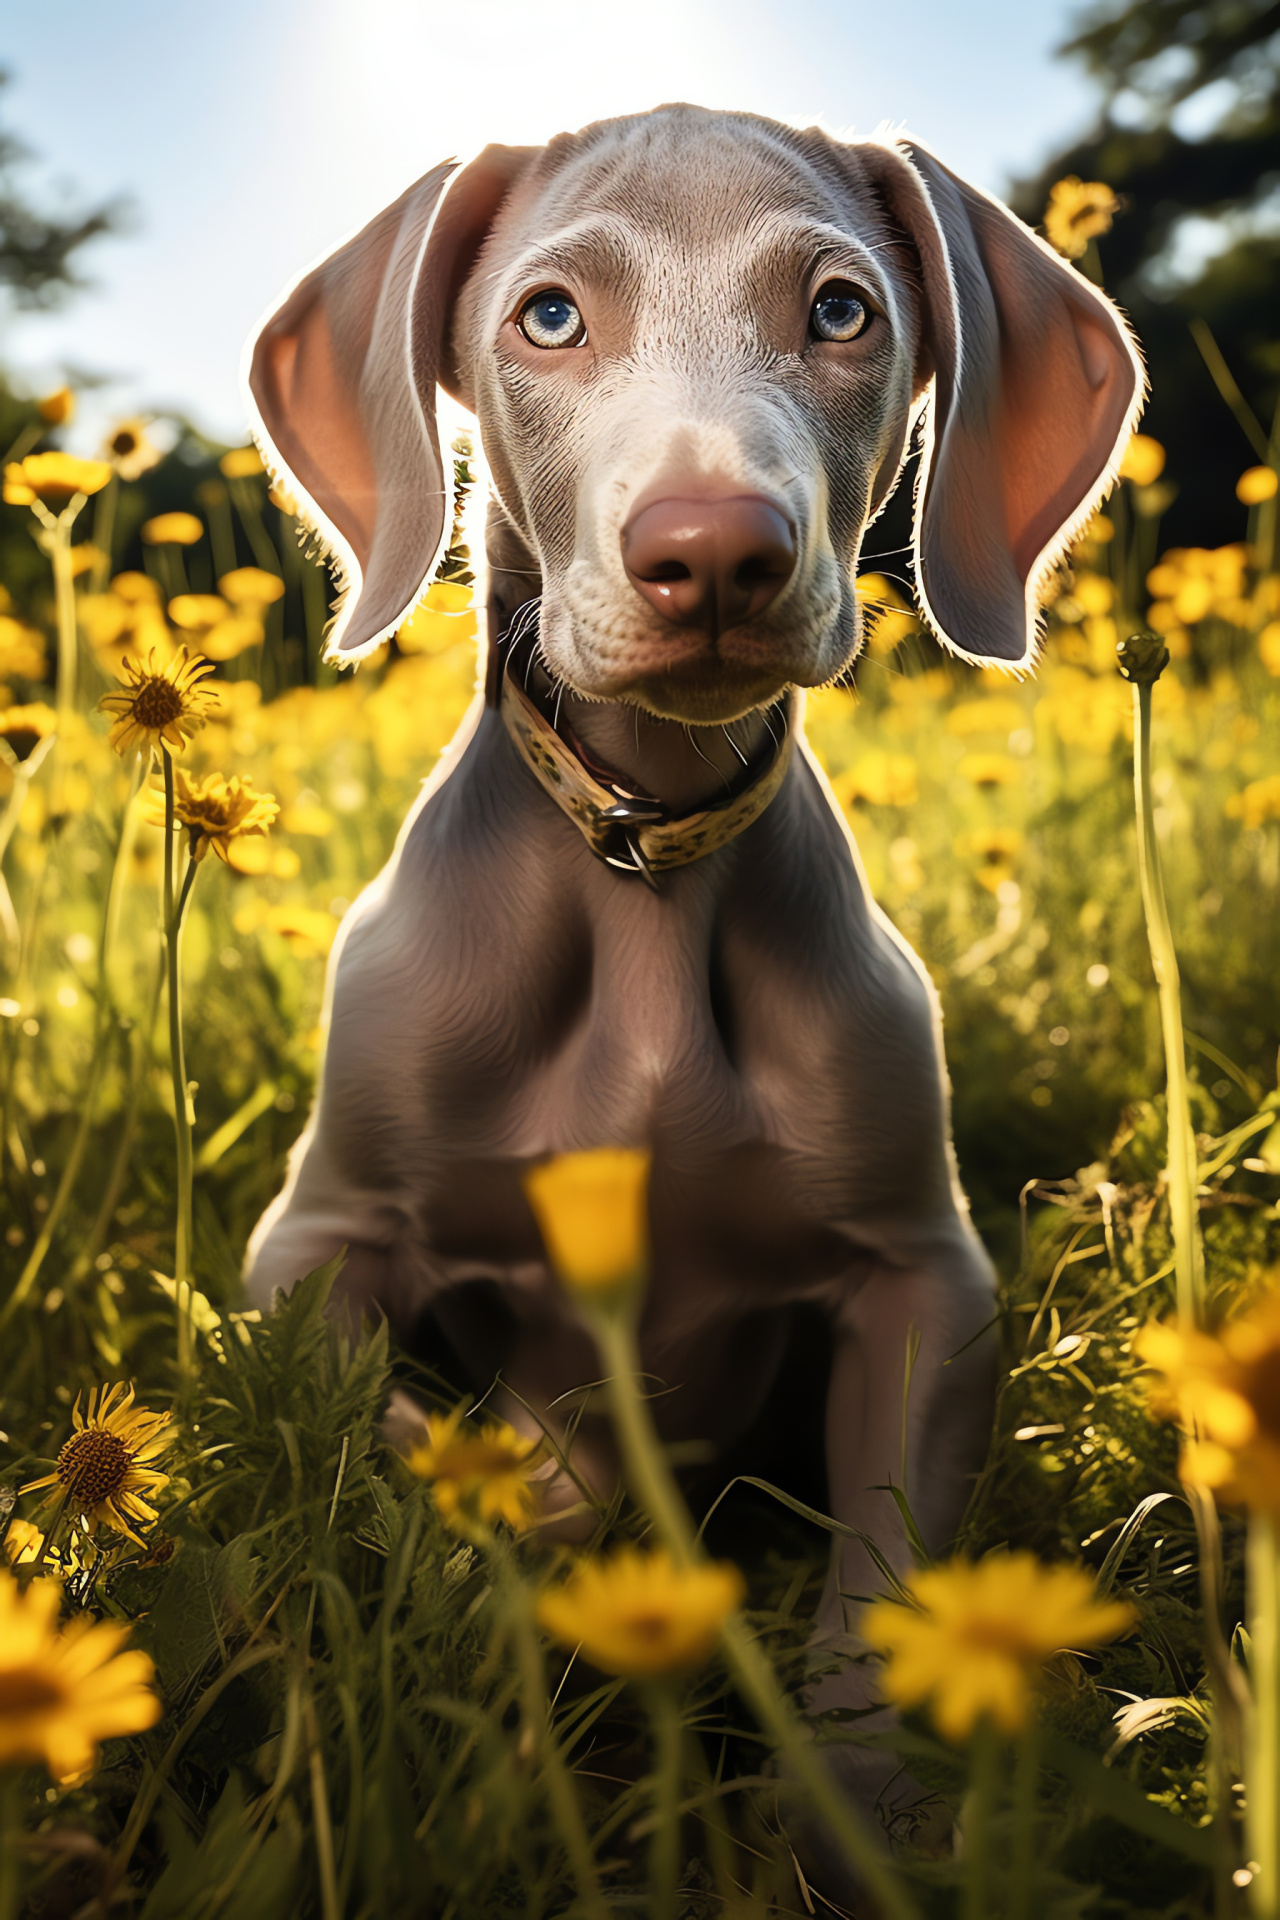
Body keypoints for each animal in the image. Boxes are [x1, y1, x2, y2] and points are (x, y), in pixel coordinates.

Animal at [239, 101, 1143, 1873]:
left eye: (842, 311)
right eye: (549, 317)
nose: (714, 554)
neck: (644, 865)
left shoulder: (924, 1281)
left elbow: (882, 1595)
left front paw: (861, 1828)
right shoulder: (312, 1248)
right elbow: (420, 1488)